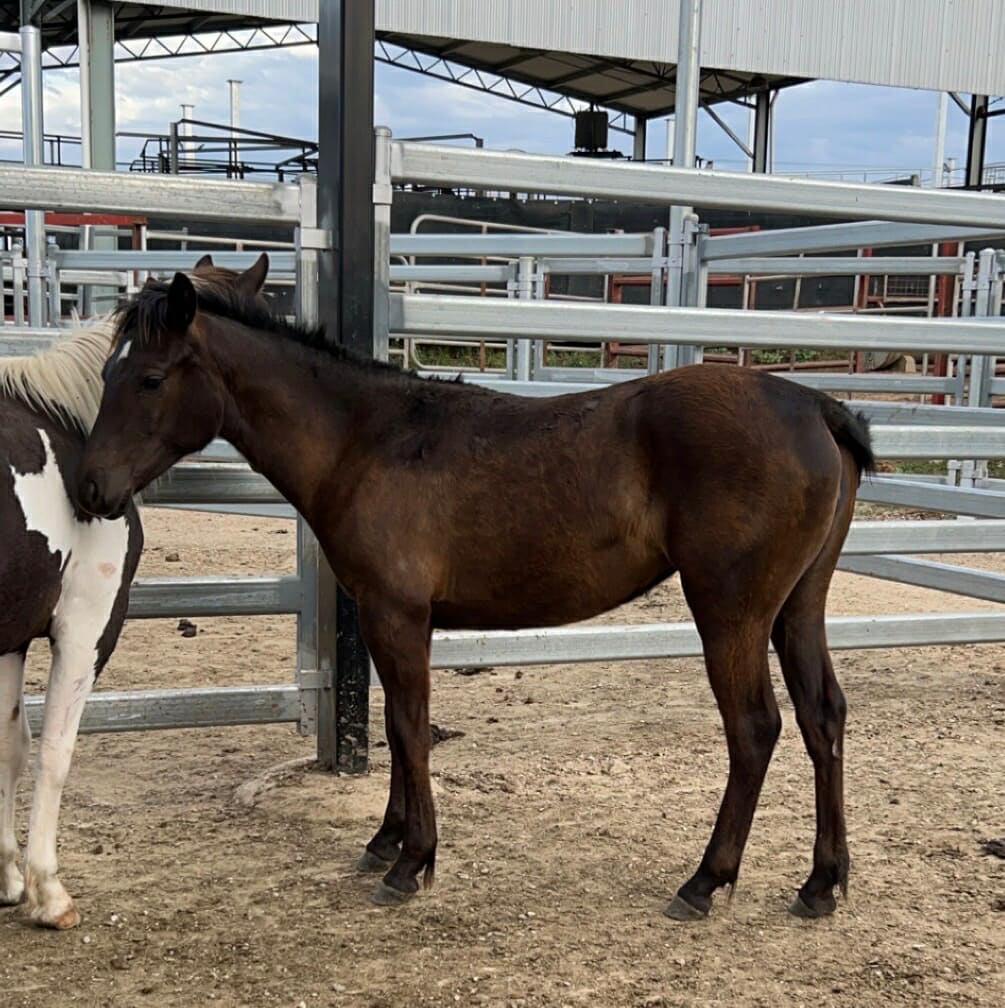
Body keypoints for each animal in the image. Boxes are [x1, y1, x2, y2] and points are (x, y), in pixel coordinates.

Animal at [0, 254, 269, 930]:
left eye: (145, 380)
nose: (94, 490)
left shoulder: (12, 638)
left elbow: (11, 746)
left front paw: (9, 878)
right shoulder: (85, 626)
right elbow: (55, 751)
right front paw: (48, 892)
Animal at [77, 261, 875, 922]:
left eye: (149, 378)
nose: (92, 489)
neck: (366, 440)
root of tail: (814, 406)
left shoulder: (395, 614)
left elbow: (407, 727)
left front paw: (411, 861)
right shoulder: (393, 620)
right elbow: (400, 725)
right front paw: (387, 837)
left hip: (729, 612)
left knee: (755, 728)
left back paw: (706, 881)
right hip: (798, 606)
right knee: (822, 717)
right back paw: (821, 882)